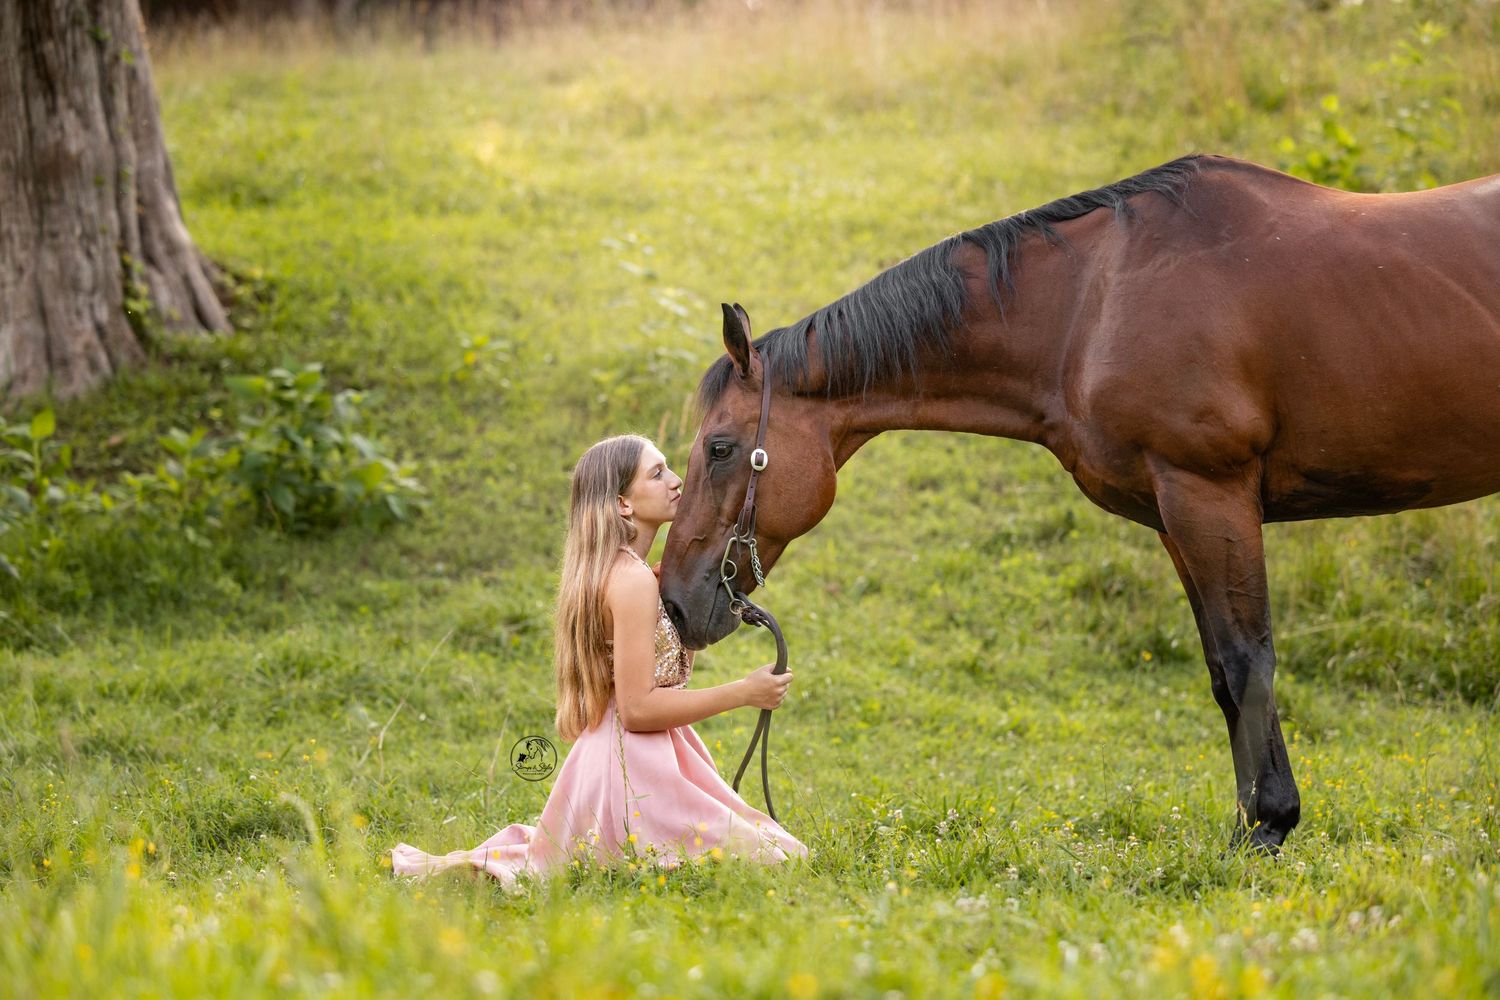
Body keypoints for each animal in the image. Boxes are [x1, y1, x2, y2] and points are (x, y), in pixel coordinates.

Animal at [657, 153, 1500, 850]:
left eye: (720, 447)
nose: (673, 602)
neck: (1092, 304)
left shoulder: (1210, 493)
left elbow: (1247, 658)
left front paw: (1269, 825)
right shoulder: (1173, 515)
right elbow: (1220, 673)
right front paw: (1245, 824)